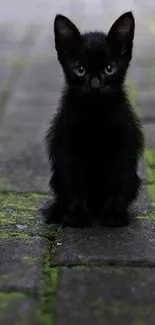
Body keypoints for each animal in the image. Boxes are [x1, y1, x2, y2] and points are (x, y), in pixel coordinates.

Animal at [43, 12, 144, 225]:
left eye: (109, 68)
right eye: (80, 70)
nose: (95, 85)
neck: (96, 113)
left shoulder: (125, 144)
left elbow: (118, 179)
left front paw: (114, 214)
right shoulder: (68, 147)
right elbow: (75, 183)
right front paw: (78, 215)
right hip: (57, 176)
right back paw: (57, 211)